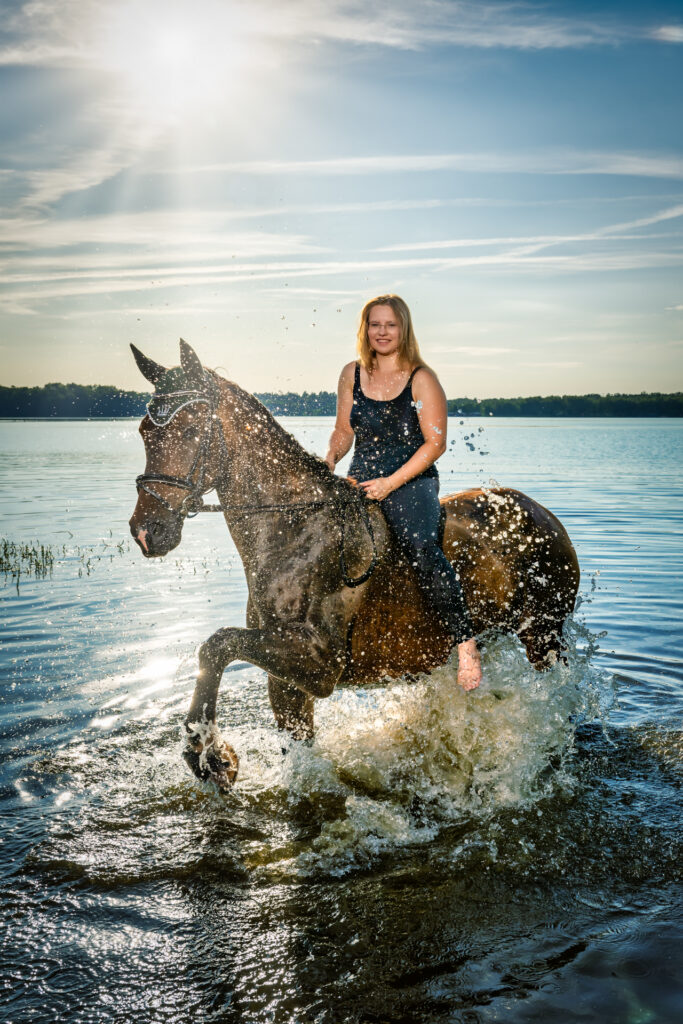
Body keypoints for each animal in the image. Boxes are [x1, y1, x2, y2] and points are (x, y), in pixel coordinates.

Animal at [129, 339, 581, 786]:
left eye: (189, 430)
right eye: (144, 432)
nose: (145, 532)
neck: (295, 527)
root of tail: (543, 514)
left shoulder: (320, 662)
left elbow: (217, 644)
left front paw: (206, 751)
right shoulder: (285, 682)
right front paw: (211, 754)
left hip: (543, 635)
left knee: (560, 701)